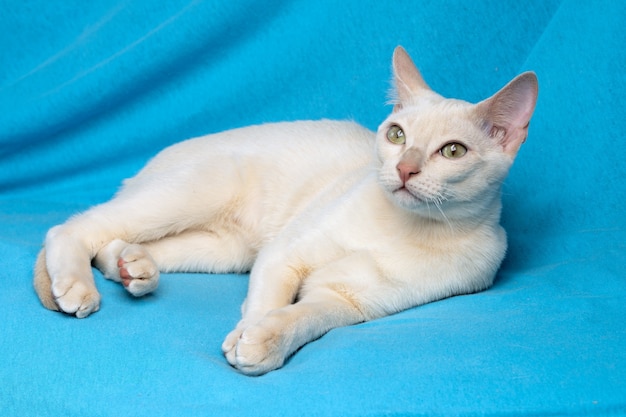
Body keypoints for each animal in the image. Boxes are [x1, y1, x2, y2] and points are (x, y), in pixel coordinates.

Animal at [33, 47, 536, 376]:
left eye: (452, 151)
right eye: (397, 135)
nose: (405, 169)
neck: (401, 226)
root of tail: (149, 165)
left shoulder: (346, 300)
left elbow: (301, 317)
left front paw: (262, 344)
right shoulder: (285, 256)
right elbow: (265, 304)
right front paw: (245, 337)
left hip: (225, 252)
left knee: (112, 246)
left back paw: (134, 268)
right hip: (192, 198)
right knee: (73, 228)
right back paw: (78, 286)